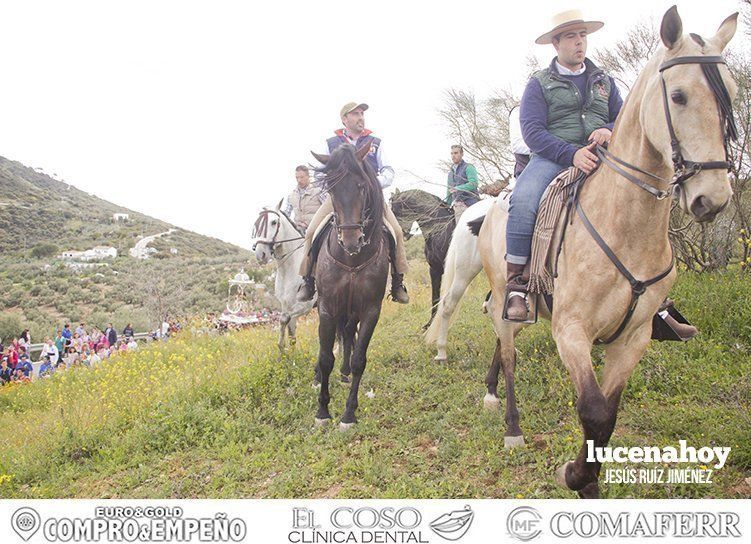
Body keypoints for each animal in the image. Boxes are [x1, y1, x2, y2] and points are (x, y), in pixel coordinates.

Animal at [251, 202, 312, 350]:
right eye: (256, 224)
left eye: (274, 222)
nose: (260, 255)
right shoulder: (285, 304)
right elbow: (292, 335)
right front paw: (287, 353)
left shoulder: (304, 306)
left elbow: (283, 319)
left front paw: (282, 349)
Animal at [310, 143, 390, 430]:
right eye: (332, 190)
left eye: (362, 186)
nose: (351, 240)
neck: (351, 260)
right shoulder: (326, 308)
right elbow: (325, 358)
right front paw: (322, 411)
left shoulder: (370, 311)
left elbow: (358, 360)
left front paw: (348, 414)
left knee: (347, 335)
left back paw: (344, 374)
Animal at [390, 189, 456, 330]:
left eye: (395, 210)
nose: (403, 234)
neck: (439, 228)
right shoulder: (434, 269)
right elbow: (435, 298)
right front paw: (430, 324)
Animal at [482, 7, 736, 498]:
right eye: (678, 96)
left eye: (730, 95)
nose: (711, 198)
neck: (627, 228)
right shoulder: (571, 331)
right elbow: (594, 410)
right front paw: (575, 476)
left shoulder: (632, 338)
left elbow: (608, 416)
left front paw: (588, 481)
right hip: (507, 300)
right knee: (509, 355)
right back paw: (512, 428)